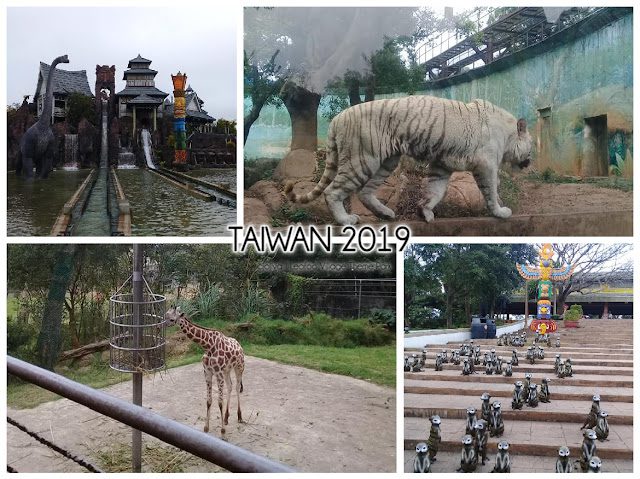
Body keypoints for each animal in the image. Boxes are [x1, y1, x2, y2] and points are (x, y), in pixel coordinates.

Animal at [284, 95, 532, 225]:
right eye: (531, 146)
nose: (530, 162)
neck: (508, 135)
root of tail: (336, 118)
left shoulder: (441, 166)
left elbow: (436, 190)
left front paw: (426, 212)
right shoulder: (486, 165)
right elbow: (491, 189)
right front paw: (500, 212)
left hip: (386, 162)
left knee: (365, 192)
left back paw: (385, 213)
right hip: (362, 159)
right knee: (332, 191)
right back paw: (346, 219)